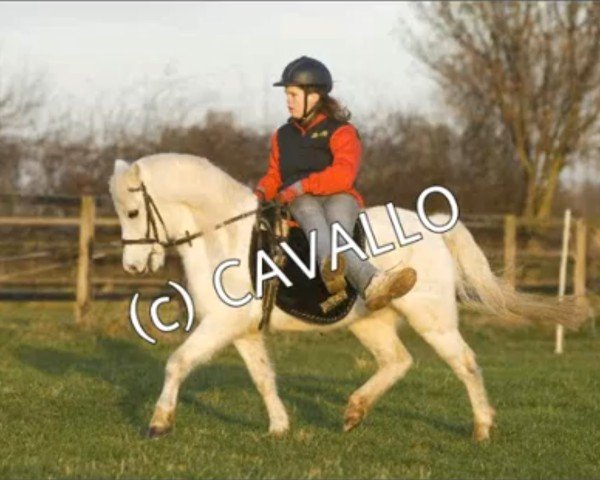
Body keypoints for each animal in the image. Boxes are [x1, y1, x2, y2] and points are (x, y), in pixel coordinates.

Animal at [109, 154, 580, 442]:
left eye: (132, 212)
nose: (132, 266)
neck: (223, 235)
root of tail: (433, 226)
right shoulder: (240, 330)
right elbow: (263, 377)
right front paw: (279, 427)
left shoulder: (222, 325)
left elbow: (178, 362)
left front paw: (158, 423)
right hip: (370, 321)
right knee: (397, 361)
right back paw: (355, 411)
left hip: (432, 318)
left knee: (464, 363)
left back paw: (481, 428)